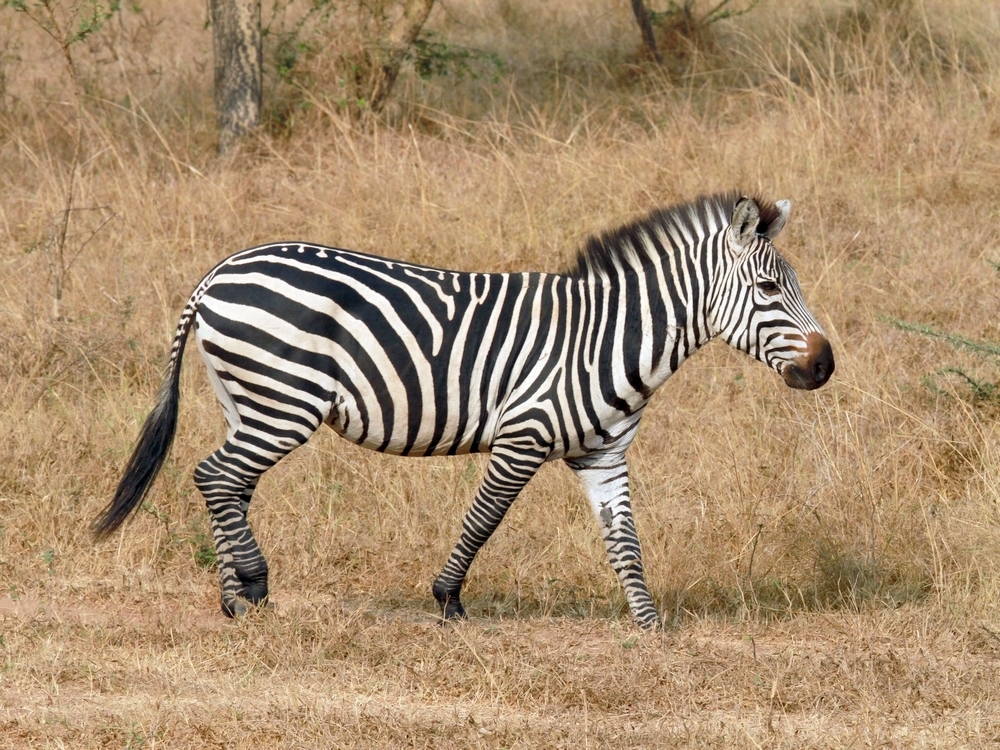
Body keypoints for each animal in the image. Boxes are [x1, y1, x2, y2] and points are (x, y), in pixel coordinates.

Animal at [93, 191, 833, 630]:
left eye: (789, 286)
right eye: (769, 289)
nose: (825, 366)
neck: (610, 336)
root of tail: (217, 273)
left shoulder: (603, 453)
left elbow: (625, 540)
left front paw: (649, 625)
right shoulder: (523, 435)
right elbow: (483, 520)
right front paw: (448, 599)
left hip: (246, 402)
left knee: (227, 485)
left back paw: (233, 599)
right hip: (283, 402)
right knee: (215, 477)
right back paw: (250, 587)